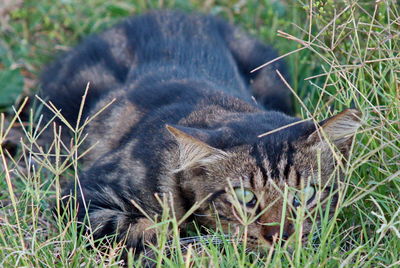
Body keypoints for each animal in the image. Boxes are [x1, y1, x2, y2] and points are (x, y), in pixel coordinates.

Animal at [39, 9, 360, 258]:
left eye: (306, 193)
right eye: (245, 197)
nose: (279, 237)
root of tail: (172, 11)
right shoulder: (84, 197)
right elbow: (152, 231)